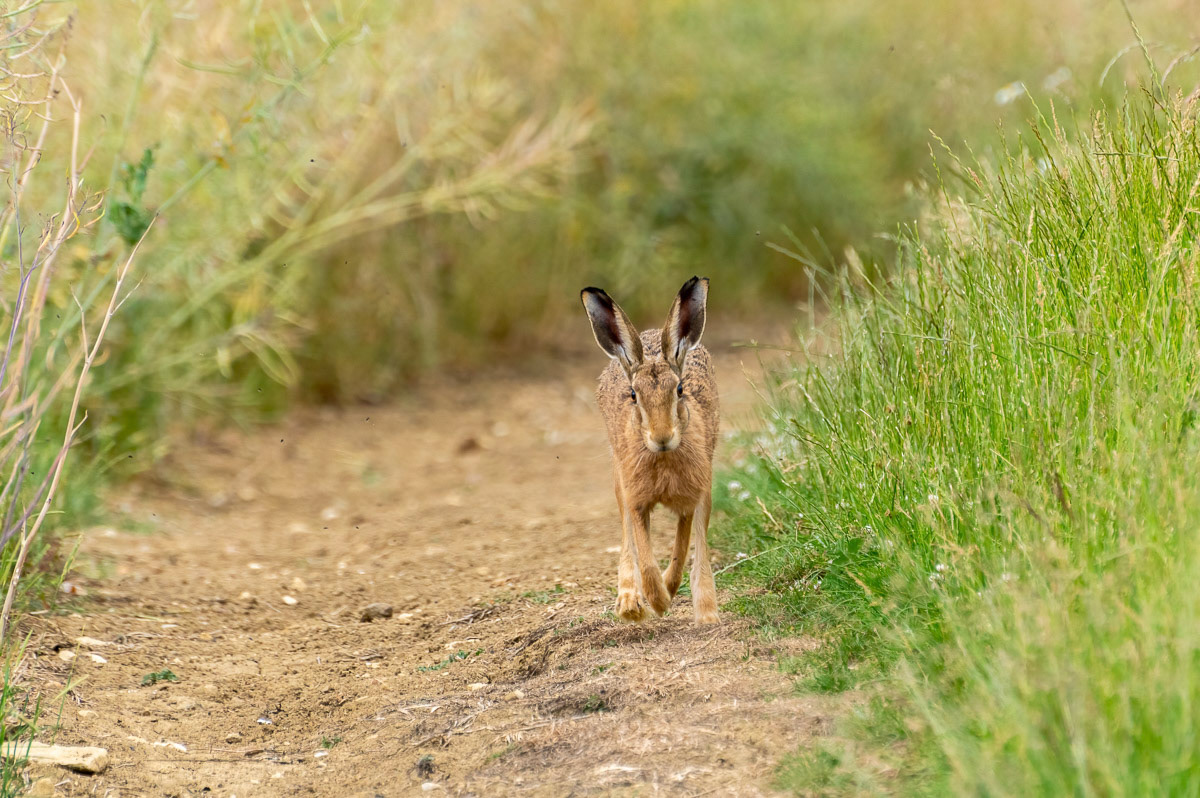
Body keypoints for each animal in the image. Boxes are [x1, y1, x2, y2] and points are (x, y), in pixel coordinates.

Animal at [580, 276, 720, 624]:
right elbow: (644, 553)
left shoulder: (692, 496)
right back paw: (629, 602)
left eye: (680, 390)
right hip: (619, 478)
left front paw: (672, 595)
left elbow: (684, 548)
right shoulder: (636, 498)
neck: (663, 458)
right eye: (633, 395)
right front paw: (656, 601)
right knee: (626, 537)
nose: (662, 437)